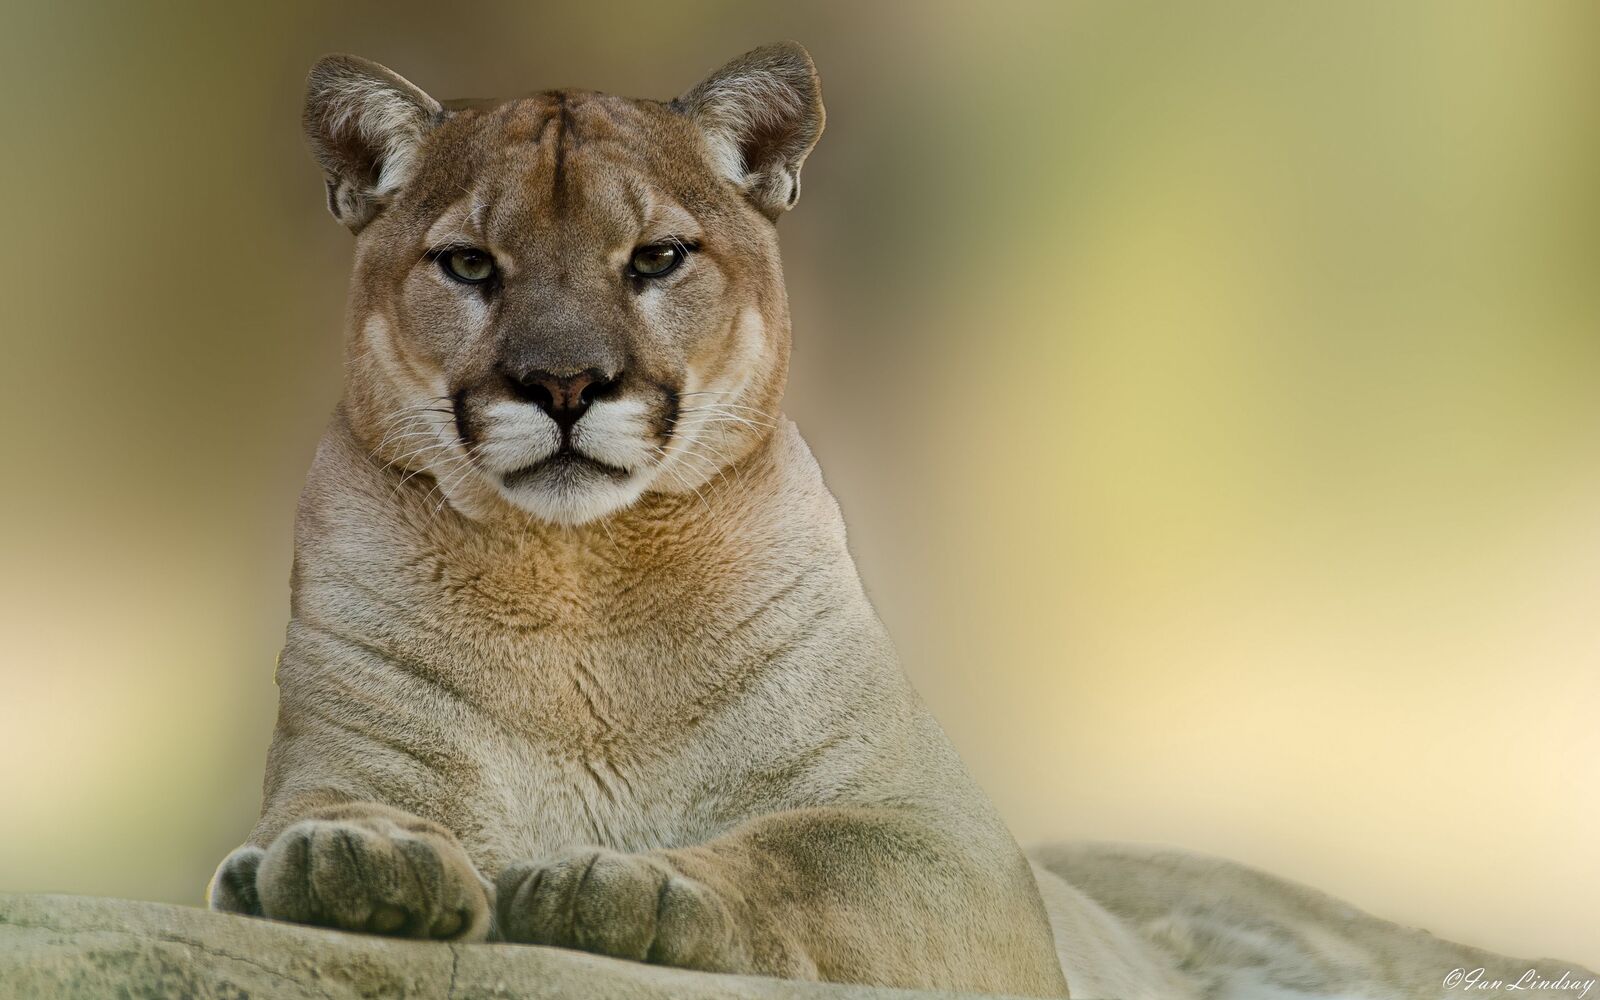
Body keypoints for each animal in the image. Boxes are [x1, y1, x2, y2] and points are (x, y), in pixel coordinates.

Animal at [209, 44, 1597, 999]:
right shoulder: (343, 762)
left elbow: (795, 856)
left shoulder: (945, 845)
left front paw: (632, 882)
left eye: (655, 258)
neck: (580, 588)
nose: (562, 384)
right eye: (469, 265)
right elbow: (326, 821)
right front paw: (347, 867)